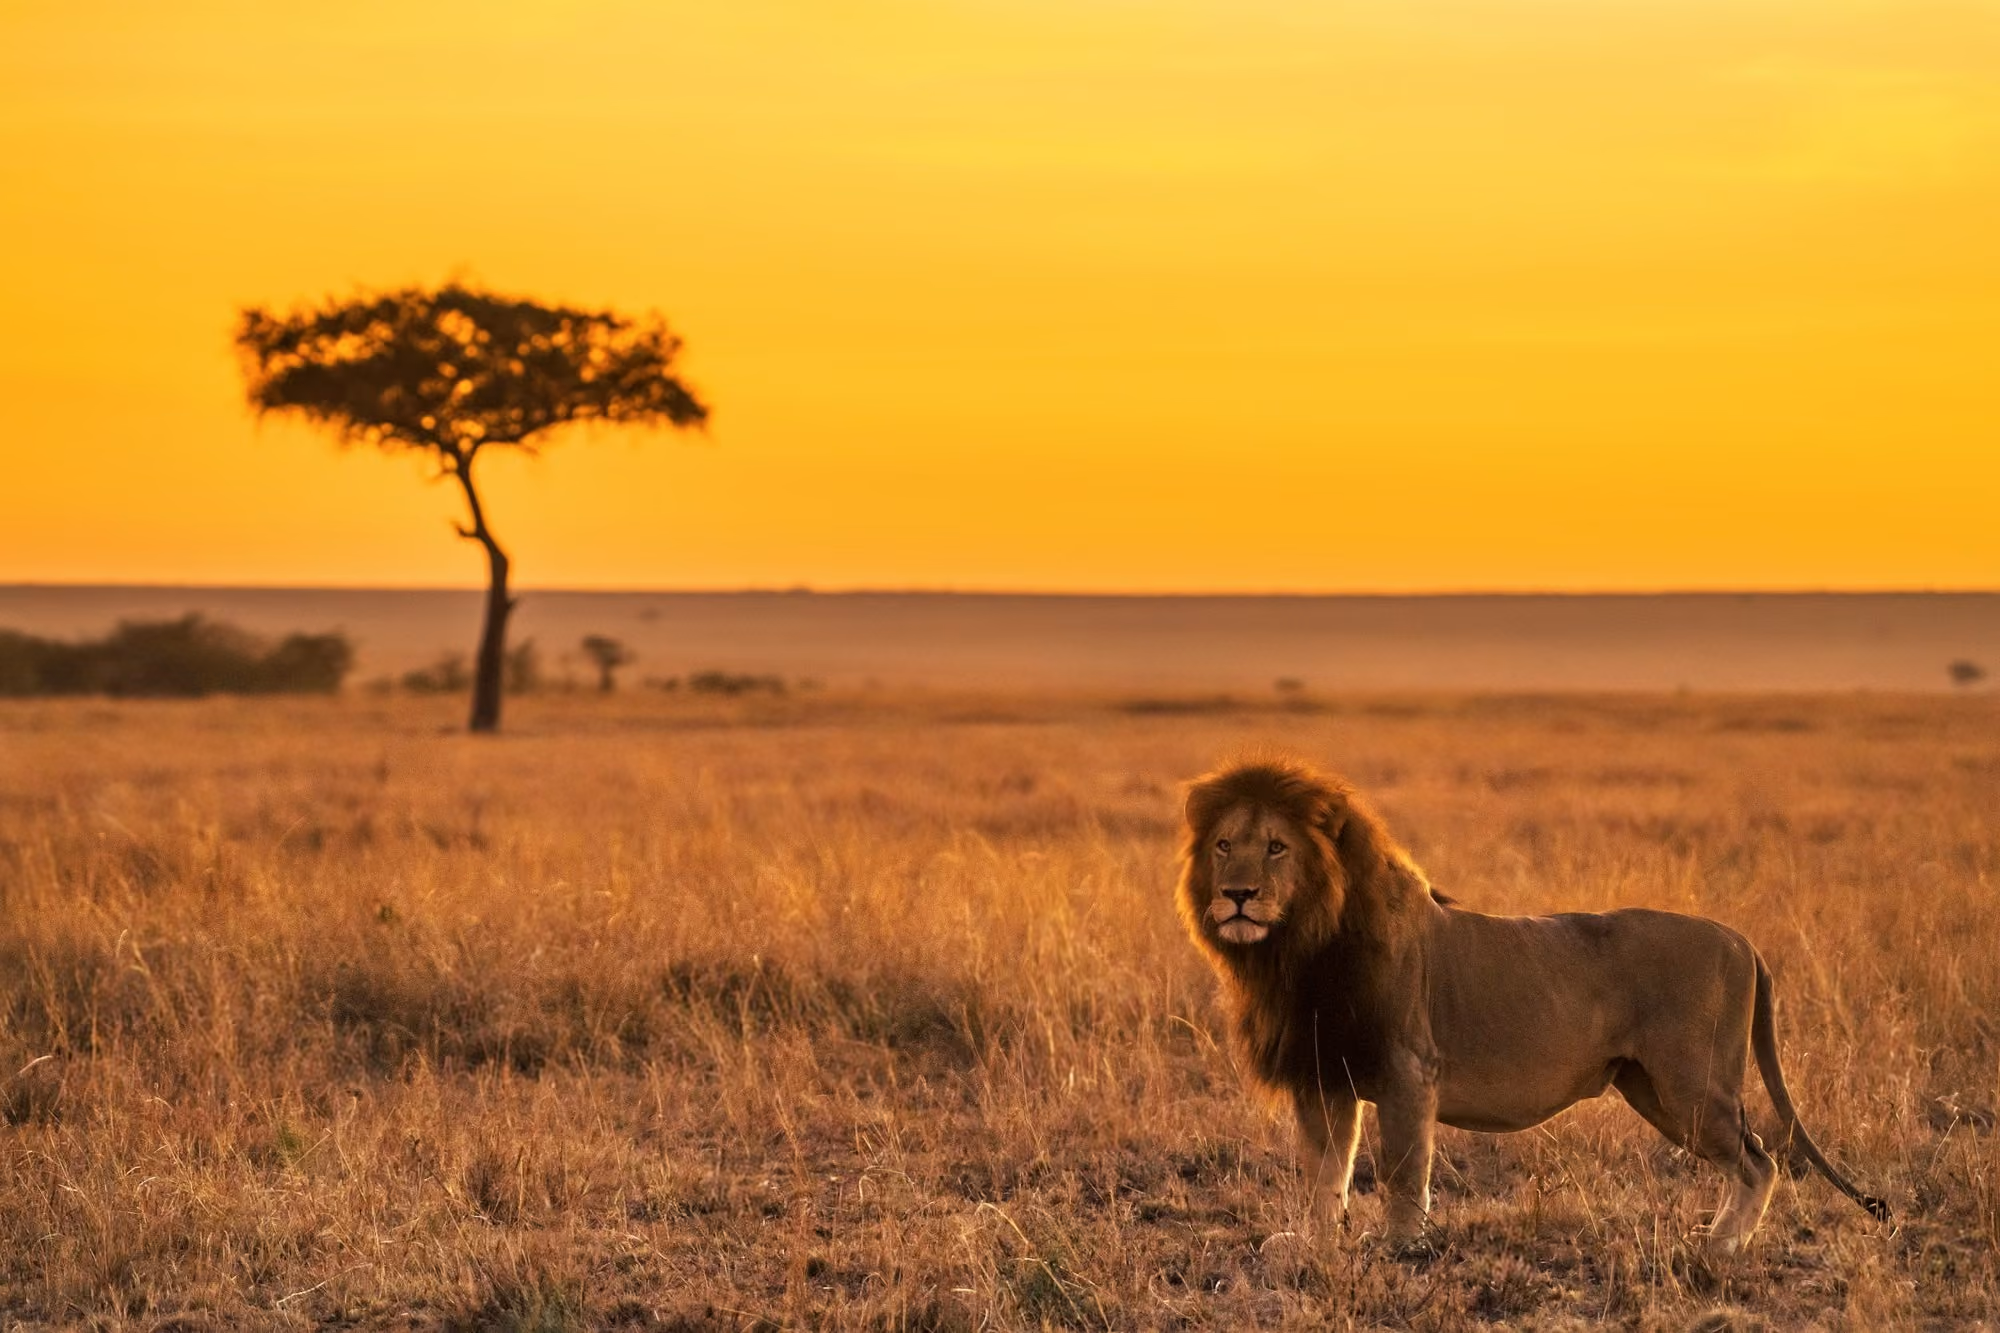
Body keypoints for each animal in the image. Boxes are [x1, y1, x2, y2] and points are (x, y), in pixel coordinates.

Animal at [1175, 757, 1890, 1254]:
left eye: (1276, 847)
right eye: (1223, 845)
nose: (1237, 895)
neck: (1297, 950)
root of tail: (1739, 938)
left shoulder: (1408, 1069)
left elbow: (1403, 1168)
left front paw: (1401, 1246)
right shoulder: (1324, 1074)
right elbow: (1325, 1169)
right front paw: (1315, 1242)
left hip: (1692, 1083)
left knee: (1759, 1161)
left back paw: (1720, 1249)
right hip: (1652, 1090)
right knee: (1751, 1158)